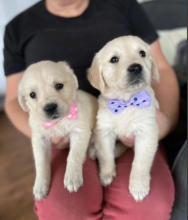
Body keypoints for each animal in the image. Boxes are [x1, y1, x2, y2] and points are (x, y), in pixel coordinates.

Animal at [18, 61, 98, 200]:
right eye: (32, 95)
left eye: (59, 85)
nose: (50, 107)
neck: (58, 122)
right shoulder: (39, 139)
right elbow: (41, 162)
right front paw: (40, 185)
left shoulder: (80, 131)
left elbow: (74, 155)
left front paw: (72, 177)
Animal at [87, 35, 159, 201]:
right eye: (114, 59)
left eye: (142, 53)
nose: (136, 67)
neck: (126, 101)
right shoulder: (104, 131)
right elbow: (106, 155)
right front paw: (106, 174)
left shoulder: (147, 133)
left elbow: (140, 162)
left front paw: (138, 186)